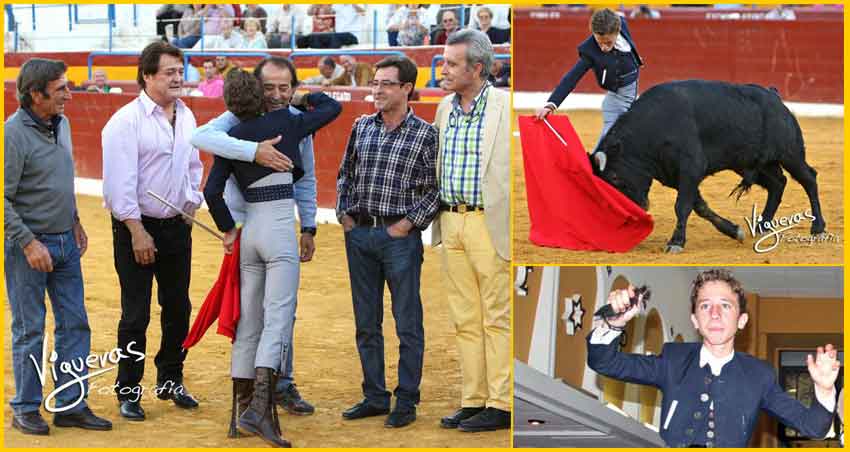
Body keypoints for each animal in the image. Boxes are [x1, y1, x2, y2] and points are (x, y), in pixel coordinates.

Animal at [588, 79, 820, 252]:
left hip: (790, 153)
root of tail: (775, 97)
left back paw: (818, 227)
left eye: (615, 177)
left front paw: (676, 242)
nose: (633, 214)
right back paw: (762, 226)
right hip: (750, 162)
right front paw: (734, 231)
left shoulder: (691, 168)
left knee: (808, 179)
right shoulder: (675, 175)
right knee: (778, 183)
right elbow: (699, 206)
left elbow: (682, 206)